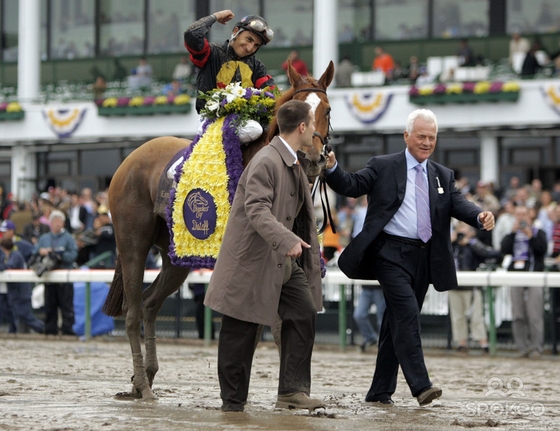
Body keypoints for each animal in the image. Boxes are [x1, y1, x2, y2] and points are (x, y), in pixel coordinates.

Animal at [101, 60, 332, 402]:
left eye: (327, 110)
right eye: (299, 110)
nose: (312, 158)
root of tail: (128, 160)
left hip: (177, 257)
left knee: (149, 304)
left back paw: (144, 377)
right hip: (133, 245)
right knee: (131, 312)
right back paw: (143, 386)